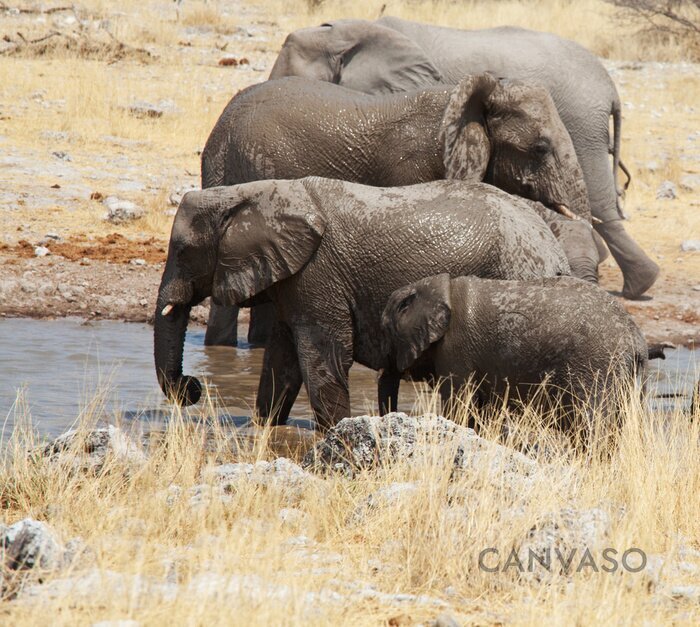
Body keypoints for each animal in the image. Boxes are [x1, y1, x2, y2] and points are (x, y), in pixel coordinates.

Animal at [156, 179, 572, 430]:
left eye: (183, 250)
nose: (193, 388)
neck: (249, 193)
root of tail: (553, 248)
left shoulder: (318, 273)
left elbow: (323, 357)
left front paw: (335, 433)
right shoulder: (295, 280)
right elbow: (281, 360)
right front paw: (267, 429)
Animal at [380, 274, 648, 442]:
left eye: (385, 330)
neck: (441, 287)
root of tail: (635, 337)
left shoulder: (455, 351)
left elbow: (459, 407)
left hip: (595, 367)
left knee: (591, 427)